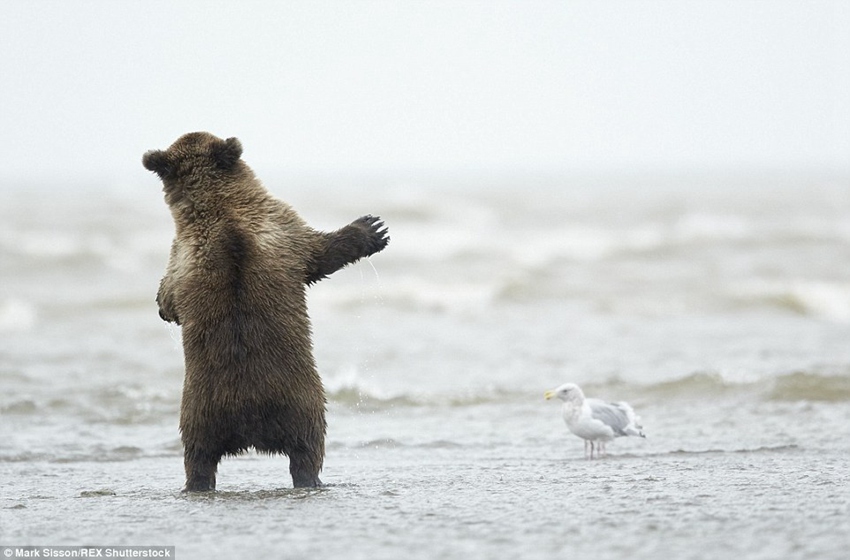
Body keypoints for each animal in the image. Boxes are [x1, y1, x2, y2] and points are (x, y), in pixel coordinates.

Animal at [142, 132, 389, 491]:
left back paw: (197, 483)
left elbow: (171, 293)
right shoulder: (282, 228)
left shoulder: (182, 256)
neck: (218, 208)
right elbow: (321, 252)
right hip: (298, 399)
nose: (375, 224)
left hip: (201, 412)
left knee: (198, 455)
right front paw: (372, 228)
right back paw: (311, 479)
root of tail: (247, 421)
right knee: (308, 447)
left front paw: (162, 306)